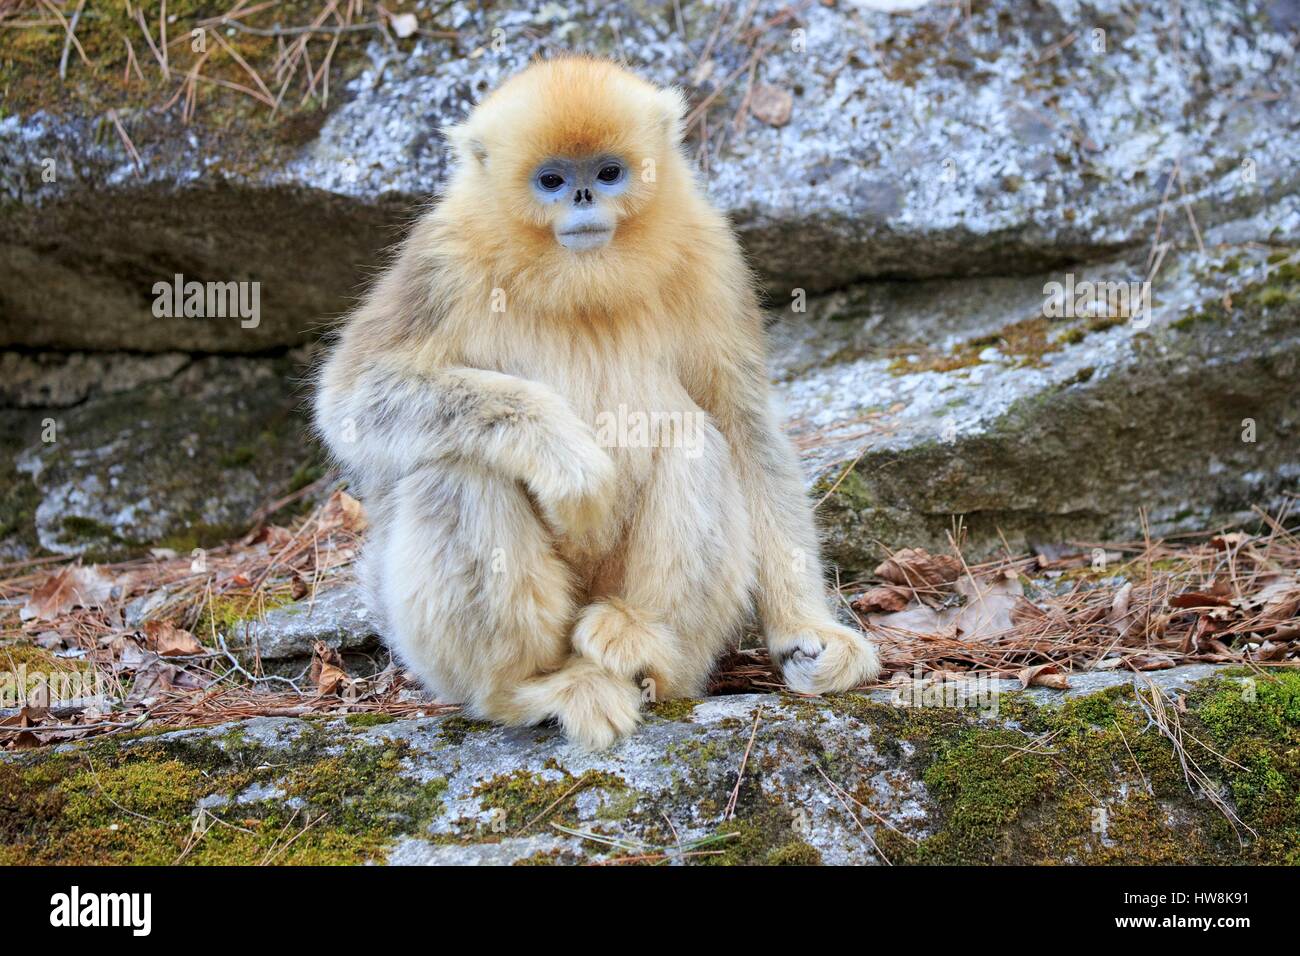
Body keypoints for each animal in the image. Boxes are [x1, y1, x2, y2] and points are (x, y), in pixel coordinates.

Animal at [314, 56, 880, 749]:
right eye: (552, 180)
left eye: (608, 173)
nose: (583, 198)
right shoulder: (441, 260)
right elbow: (353, 397)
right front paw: (569, 462)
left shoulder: (712, 256)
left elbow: (744, 425)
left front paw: (805, 632)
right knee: (460, 468)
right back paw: (535, 688)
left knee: (697, 439)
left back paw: (641, 646)